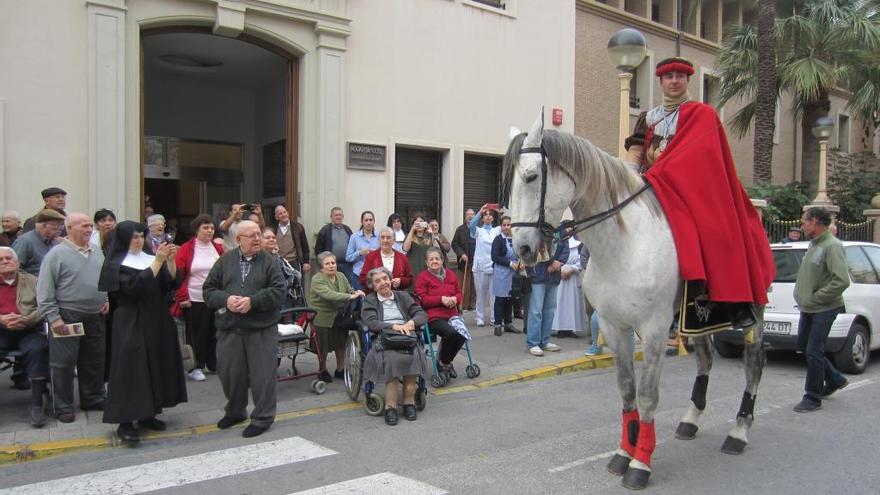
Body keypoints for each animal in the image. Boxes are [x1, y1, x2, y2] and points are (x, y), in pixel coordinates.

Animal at [506, 111, 768, 492]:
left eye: (531, 176)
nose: (522, 249)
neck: (623, 247)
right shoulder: (615, 326)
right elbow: (627, 389)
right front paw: (623, 453)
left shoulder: (654, 329)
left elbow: (646, 395)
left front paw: (641, 463)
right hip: (695, 319)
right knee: (705, 360)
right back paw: (691, 418)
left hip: (753, 314)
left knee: (753, 363)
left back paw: (738, 431)